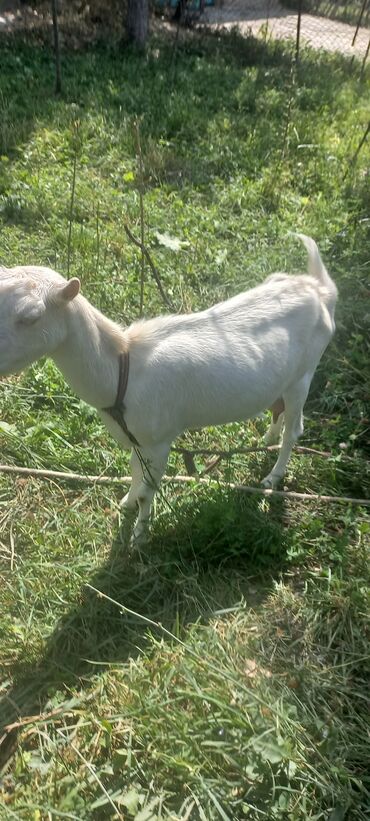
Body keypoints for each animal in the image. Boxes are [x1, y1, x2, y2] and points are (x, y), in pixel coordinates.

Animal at [0, 234, 336, 540]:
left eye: (31, 316)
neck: (121, 371)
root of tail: (319, 289)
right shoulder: (137, 437)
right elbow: (136, 472)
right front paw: (126, 504)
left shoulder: (160, 440)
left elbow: (149, 490)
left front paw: (139, 536)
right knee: (278, 408)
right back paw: (268, 438)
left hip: (304, 373)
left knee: (295, 428)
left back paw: (272, 477)